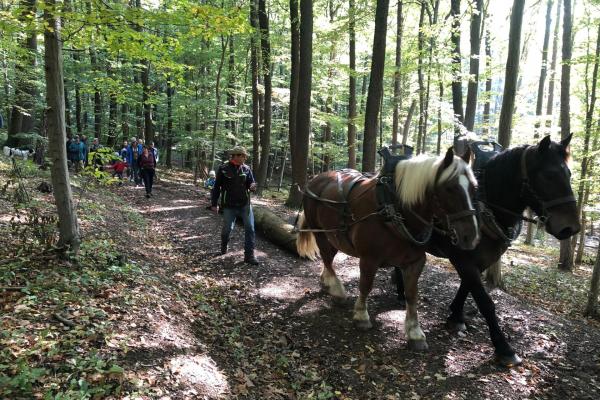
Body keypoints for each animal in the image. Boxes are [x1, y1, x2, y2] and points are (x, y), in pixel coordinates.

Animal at [298, 148, 480, 350]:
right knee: (327, 259)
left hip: (333, 235)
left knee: (328, 258)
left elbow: (412, 294)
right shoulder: (369, 259)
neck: (394, 209)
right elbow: (366, 285)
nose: (471, 236)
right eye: (449, 188)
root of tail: (316, 179)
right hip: (320, 232)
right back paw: (337, 289)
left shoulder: (415, 262)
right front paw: (361, 315)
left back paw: (327, 282)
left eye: (474, 188)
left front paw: (415, 332)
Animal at [394, 136, 580, 368]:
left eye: (569, 174)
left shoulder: (482, 260)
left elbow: (467, 288)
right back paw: (400, 293)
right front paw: (504, 348)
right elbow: (485, 302)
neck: (486, 211)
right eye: (549, 175)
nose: (571, 228)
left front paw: (456, 316)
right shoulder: (461, 258)